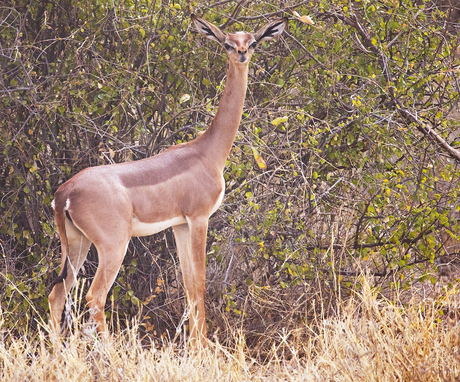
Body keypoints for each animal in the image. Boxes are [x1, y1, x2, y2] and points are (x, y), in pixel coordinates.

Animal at [49, 14, 288, 346]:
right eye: (227, 43)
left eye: (252, 42)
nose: (241, 54)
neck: (207, 151)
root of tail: (65, 193)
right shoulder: (199, 218)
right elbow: (200, 283)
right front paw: (203, 349)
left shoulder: (179, 225)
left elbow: (188, 284)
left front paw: (195, 345)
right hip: (113, 246)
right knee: (95, 297)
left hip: (75, 244)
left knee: (57, 293)